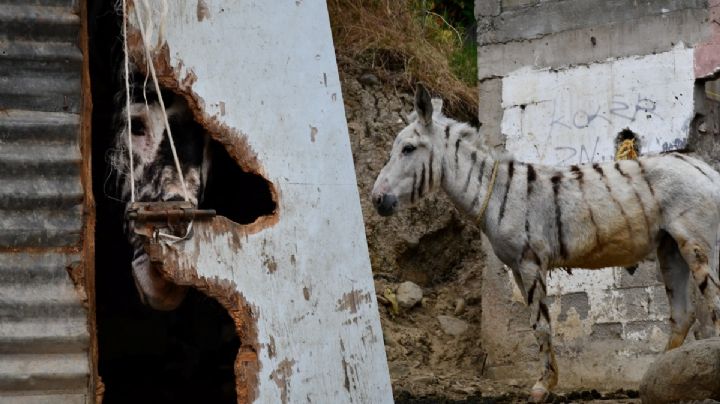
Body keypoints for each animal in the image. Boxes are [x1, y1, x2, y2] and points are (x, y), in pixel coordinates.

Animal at [371, 84, 720, 402]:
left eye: (408, 149)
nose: (376, 200)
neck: (496, 193)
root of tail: (706, 170)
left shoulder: (530, 262)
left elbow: (540, 325)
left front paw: (544, 386)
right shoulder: (515, 268)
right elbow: (535, 324)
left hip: (696, 245)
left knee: (713, 305)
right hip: (670, 249)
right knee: (683, 315)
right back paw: (657, 378)